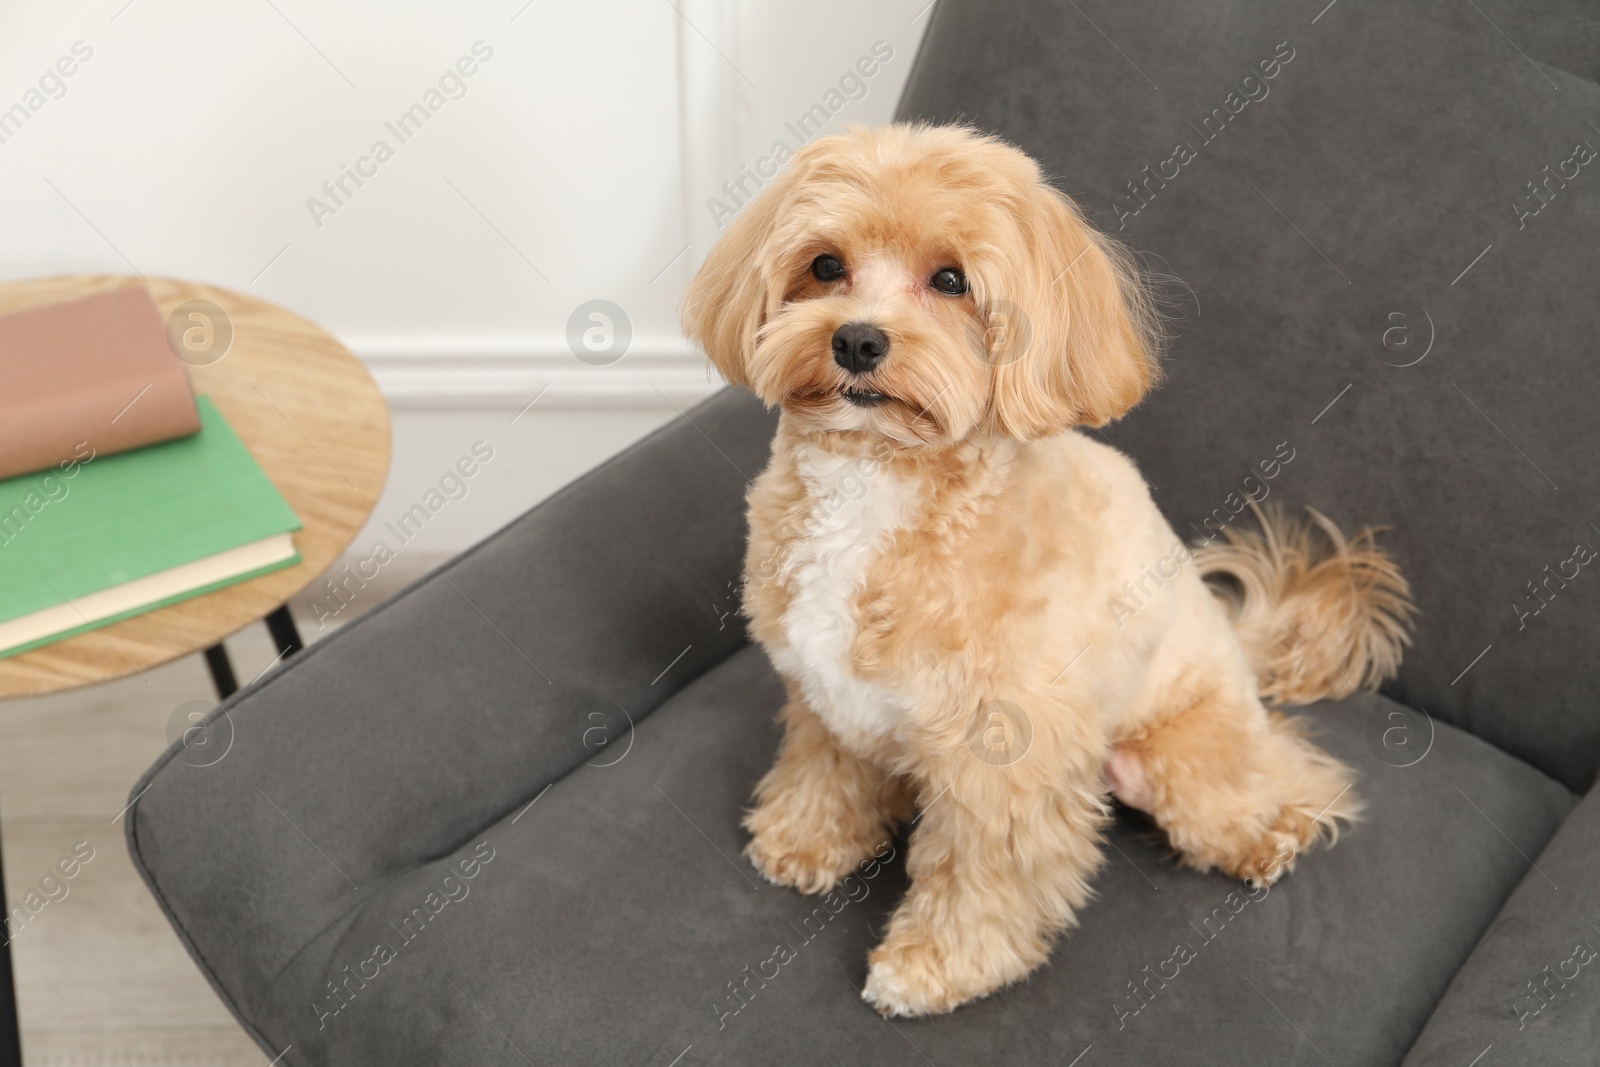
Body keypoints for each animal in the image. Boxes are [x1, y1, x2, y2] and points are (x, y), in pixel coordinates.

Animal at [681, 123, 1408, 1017]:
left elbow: (983, 871)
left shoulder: (1006, 757)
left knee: (1279, 780)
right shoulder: (826, 694)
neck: (880, 480)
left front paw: (933, 965)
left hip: (1182, 749)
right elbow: (826, 769)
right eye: (825, 265)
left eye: (950, 280)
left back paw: (1269, 833)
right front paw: (806, 837)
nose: (856, 339)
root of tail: (1236, 640)